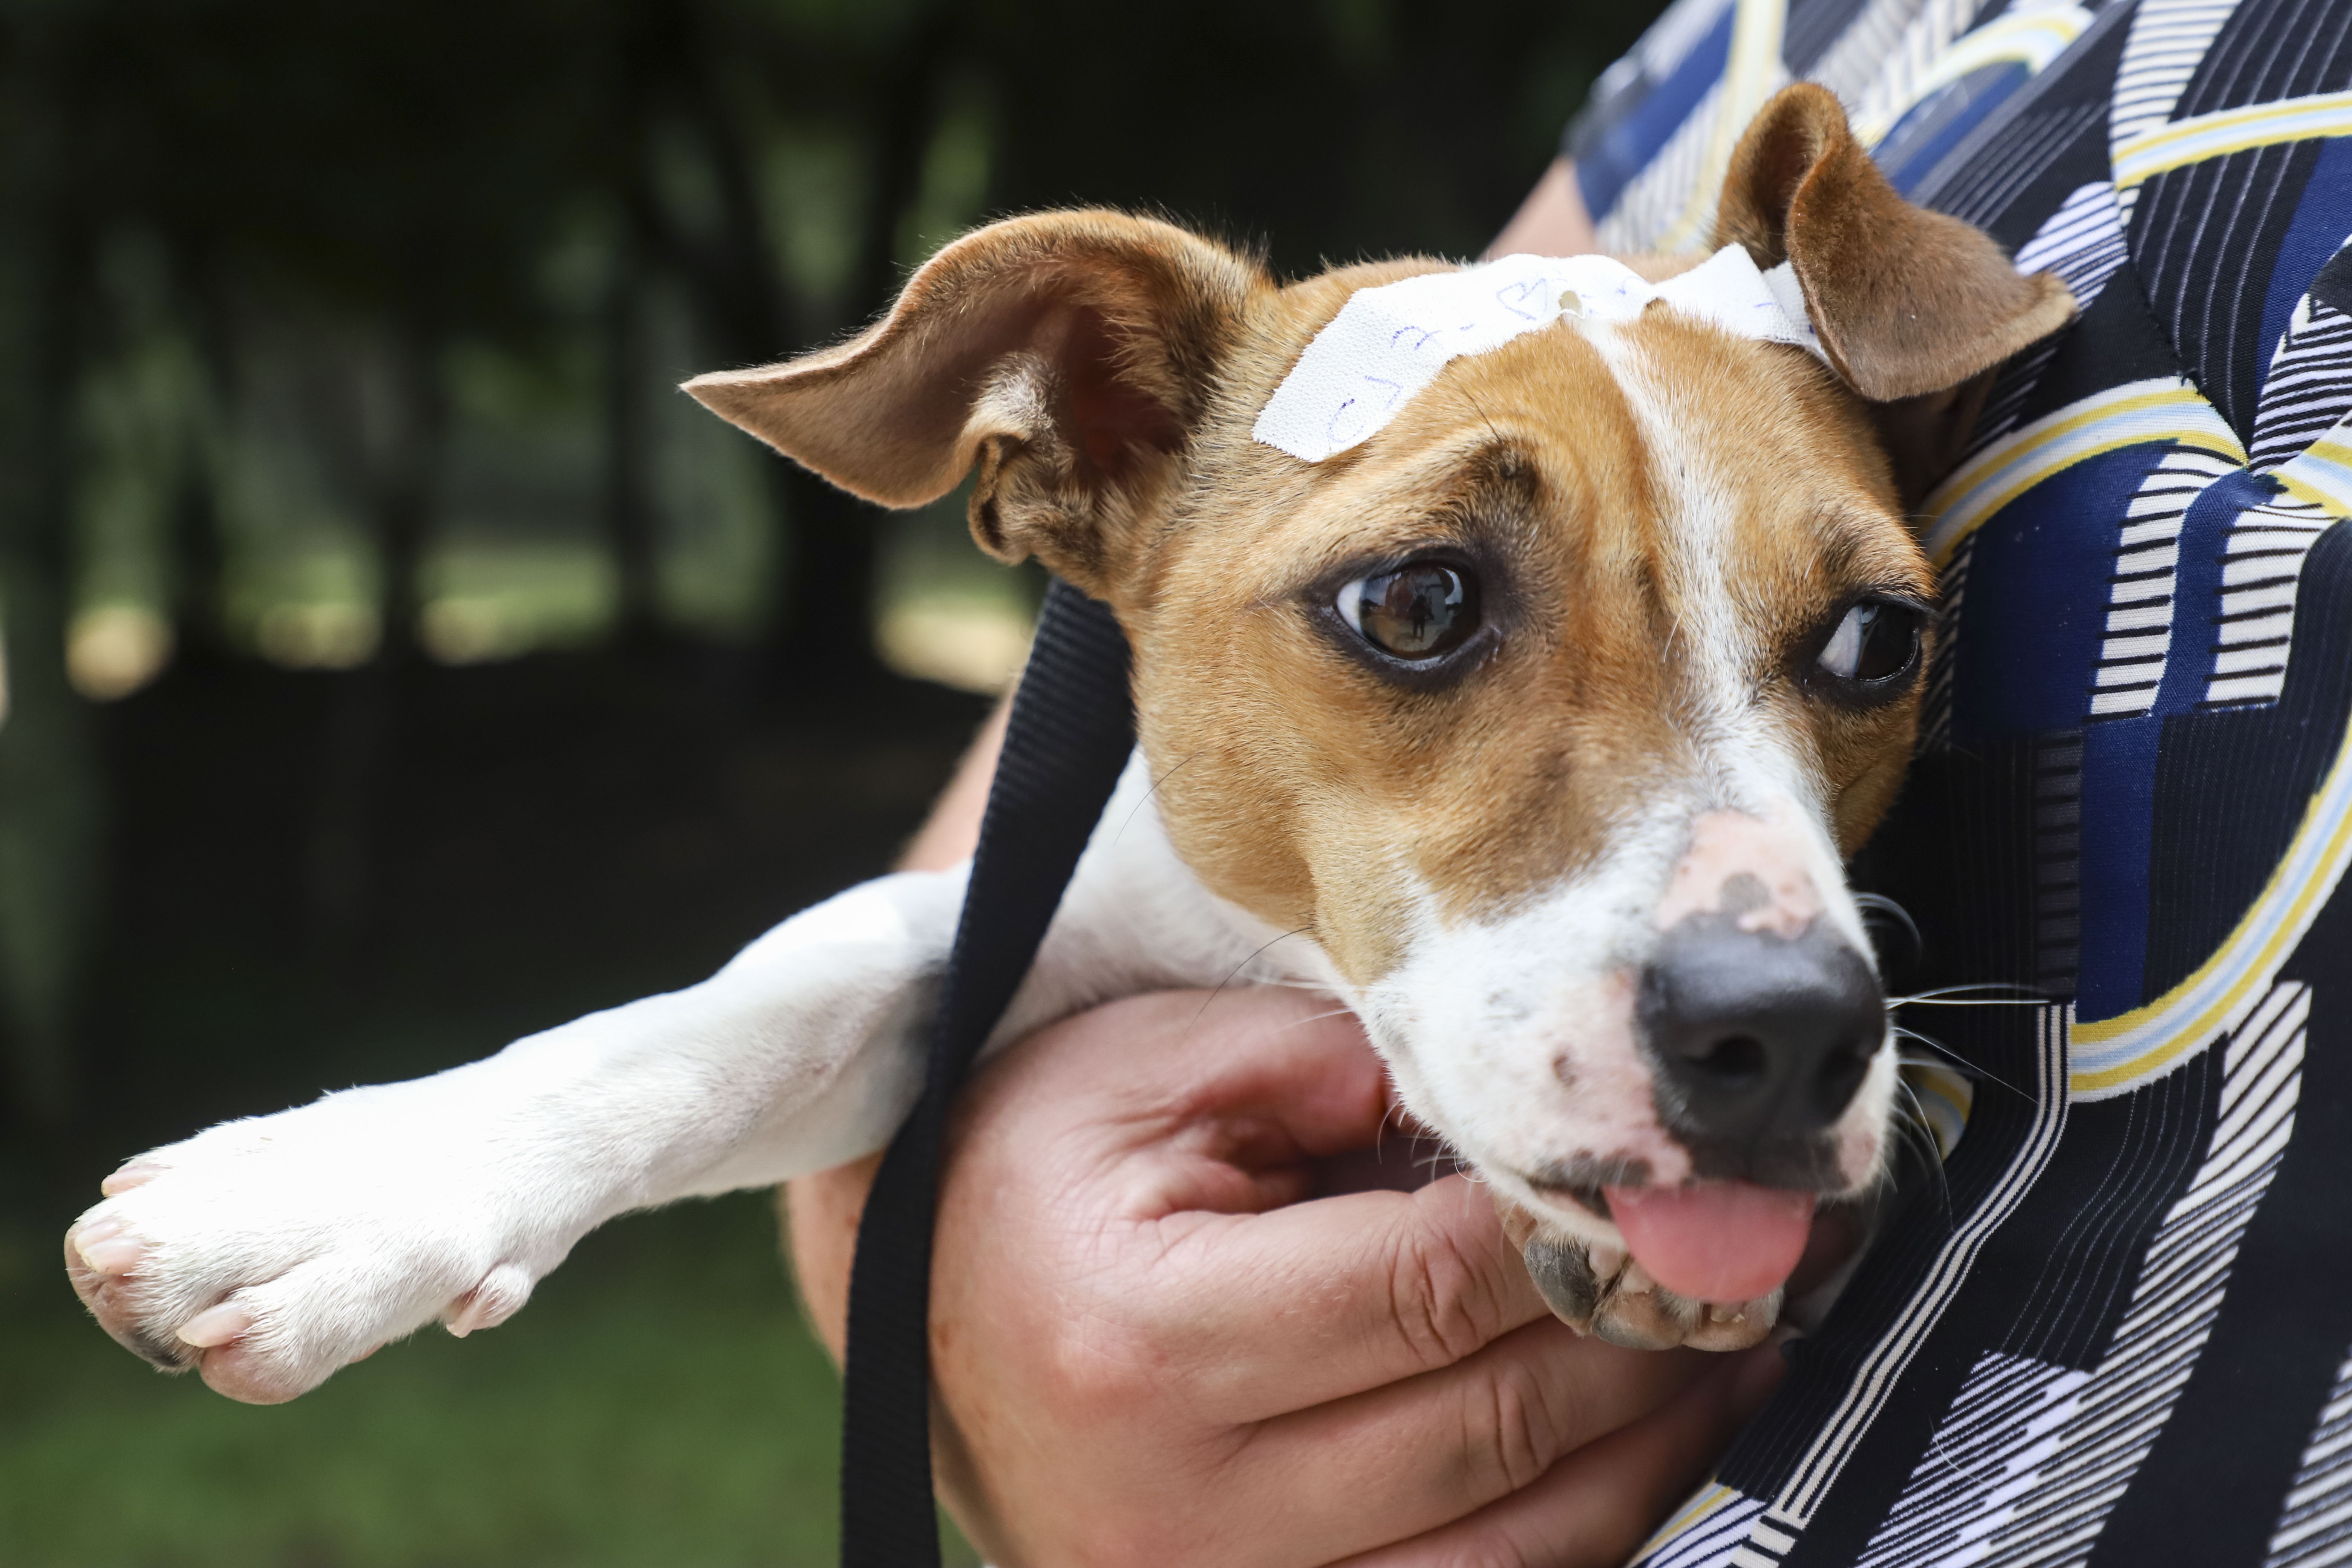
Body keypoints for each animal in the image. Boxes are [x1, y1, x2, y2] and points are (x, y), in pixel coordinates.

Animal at [64, 89, 2070, 1410]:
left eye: (1879, 639)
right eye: (1417, 601)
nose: (1787, 1035)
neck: (1292, 970)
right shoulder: (1026, 931)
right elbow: (755, 995)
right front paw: (354, 1179)